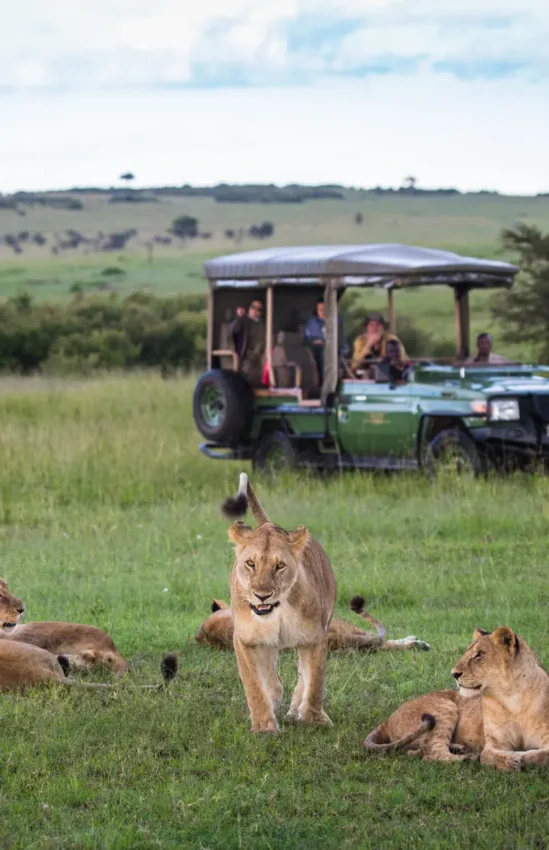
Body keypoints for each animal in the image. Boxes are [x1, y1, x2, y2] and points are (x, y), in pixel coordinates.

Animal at [222, 472, 336, 734]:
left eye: (280, 566)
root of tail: (269, 523)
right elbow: (255, 685)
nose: (262, 595)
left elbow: (315, 682)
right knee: (272, 679)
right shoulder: (245, 640)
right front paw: (264, 725)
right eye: (251, 563)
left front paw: (313, 719)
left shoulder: (315, 637)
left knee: (303, 676)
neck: (277, 613)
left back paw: (295, 709)